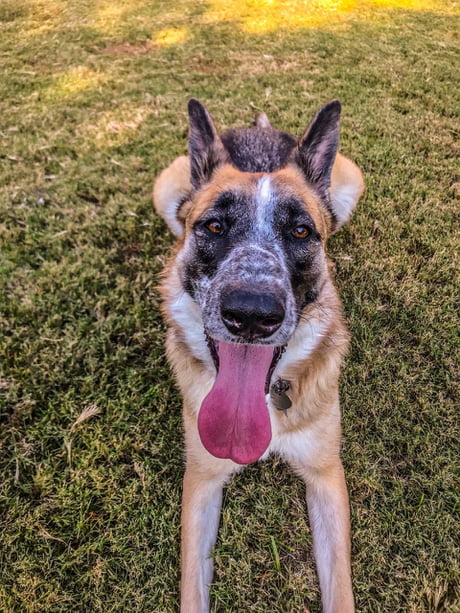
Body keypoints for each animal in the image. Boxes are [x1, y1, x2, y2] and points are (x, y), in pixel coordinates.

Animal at [153, 100, 364, 612]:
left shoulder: (326, 476)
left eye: (301, 231)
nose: (251, 315)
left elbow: (341, 591)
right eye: (213, 226)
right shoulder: (202, 482)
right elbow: (192, 591)